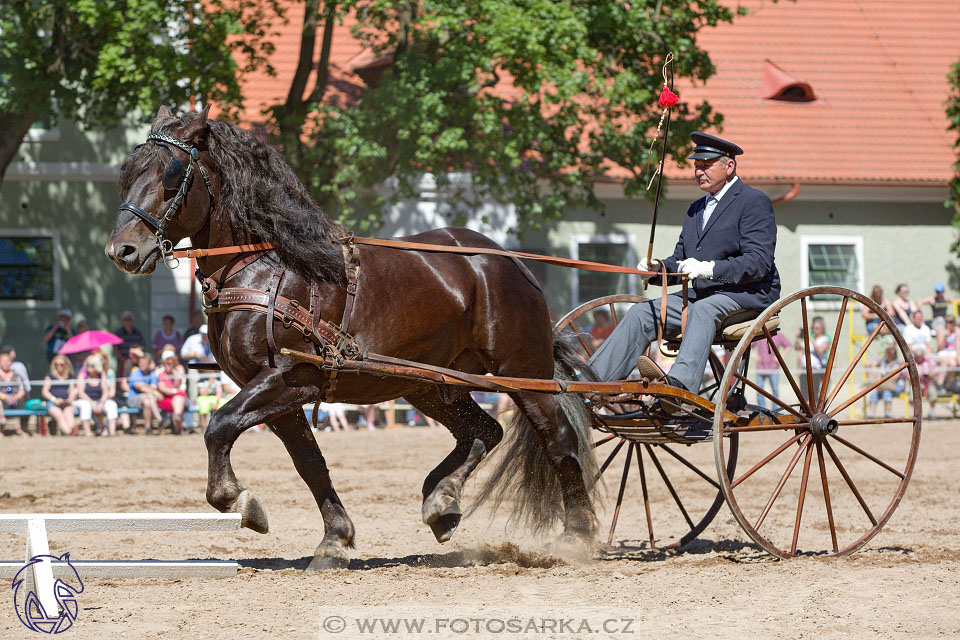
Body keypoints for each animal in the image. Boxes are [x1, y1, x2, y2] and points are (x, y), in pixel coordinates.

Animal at [105, 106, 600, 568]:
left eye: (171, 174)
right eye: (127, 173)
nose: (121, 250)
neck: (264, 268)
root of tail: (507, 260)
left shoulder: (290, 378)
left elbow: (219, 426)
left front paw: (239, 500)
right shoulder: (274, 393)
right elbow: (310, 463)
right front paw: (335, 540)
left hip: (523, 374)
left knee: (558, 439)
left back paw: (576, 535)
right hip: (427, 383)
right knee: (483, 430)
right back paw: (441, 501)